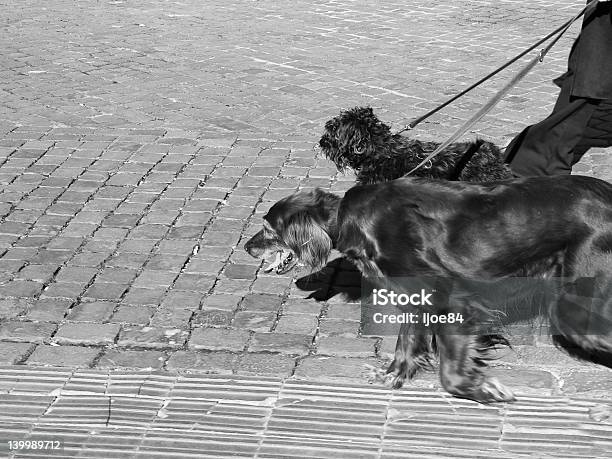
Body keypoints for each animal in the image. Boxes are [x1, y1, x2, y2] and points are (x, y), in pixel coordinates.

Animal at [244, 175, 612, 402]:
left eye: (268, 229)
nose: (246, 247)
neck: (354, 220)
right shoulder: (416, 300)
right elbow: (406, 344)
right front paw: (393, 376)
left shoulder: (453, 302)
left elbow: (450, 373)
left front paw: (482, 390)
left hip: (574, 309)